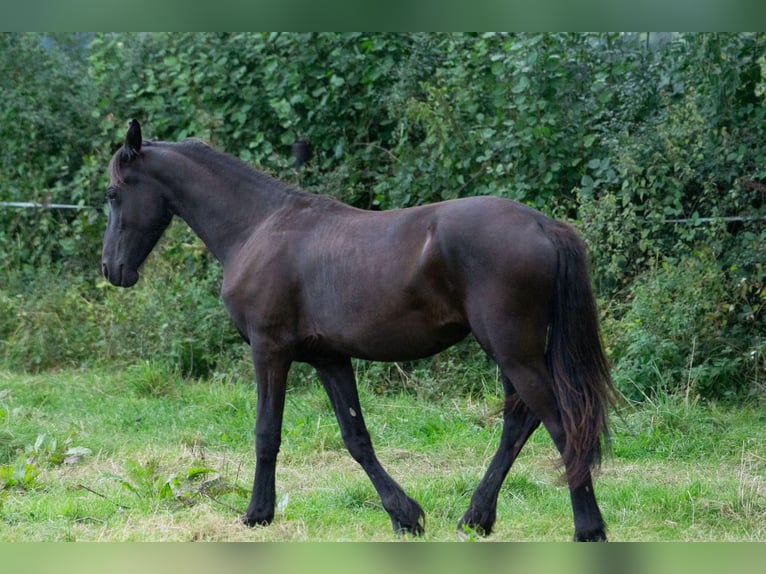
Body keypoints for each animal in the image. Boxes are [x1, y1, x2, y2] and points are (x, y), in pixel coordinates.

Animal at [102, 119, 616, 544]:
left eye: (112, 192)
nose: (112, 269)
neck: (258, 227)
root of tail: (543, 225)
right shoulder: (330, 359)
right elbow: (356, 438)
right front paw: (405, 516)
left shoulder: (270, 351)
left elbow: (267, 433)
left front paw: (257, 514)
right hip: (512, 354)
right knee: (519, 422)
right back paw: (476, 518)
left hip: (513, 351)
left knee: (560, 424)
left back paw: (587, 528)